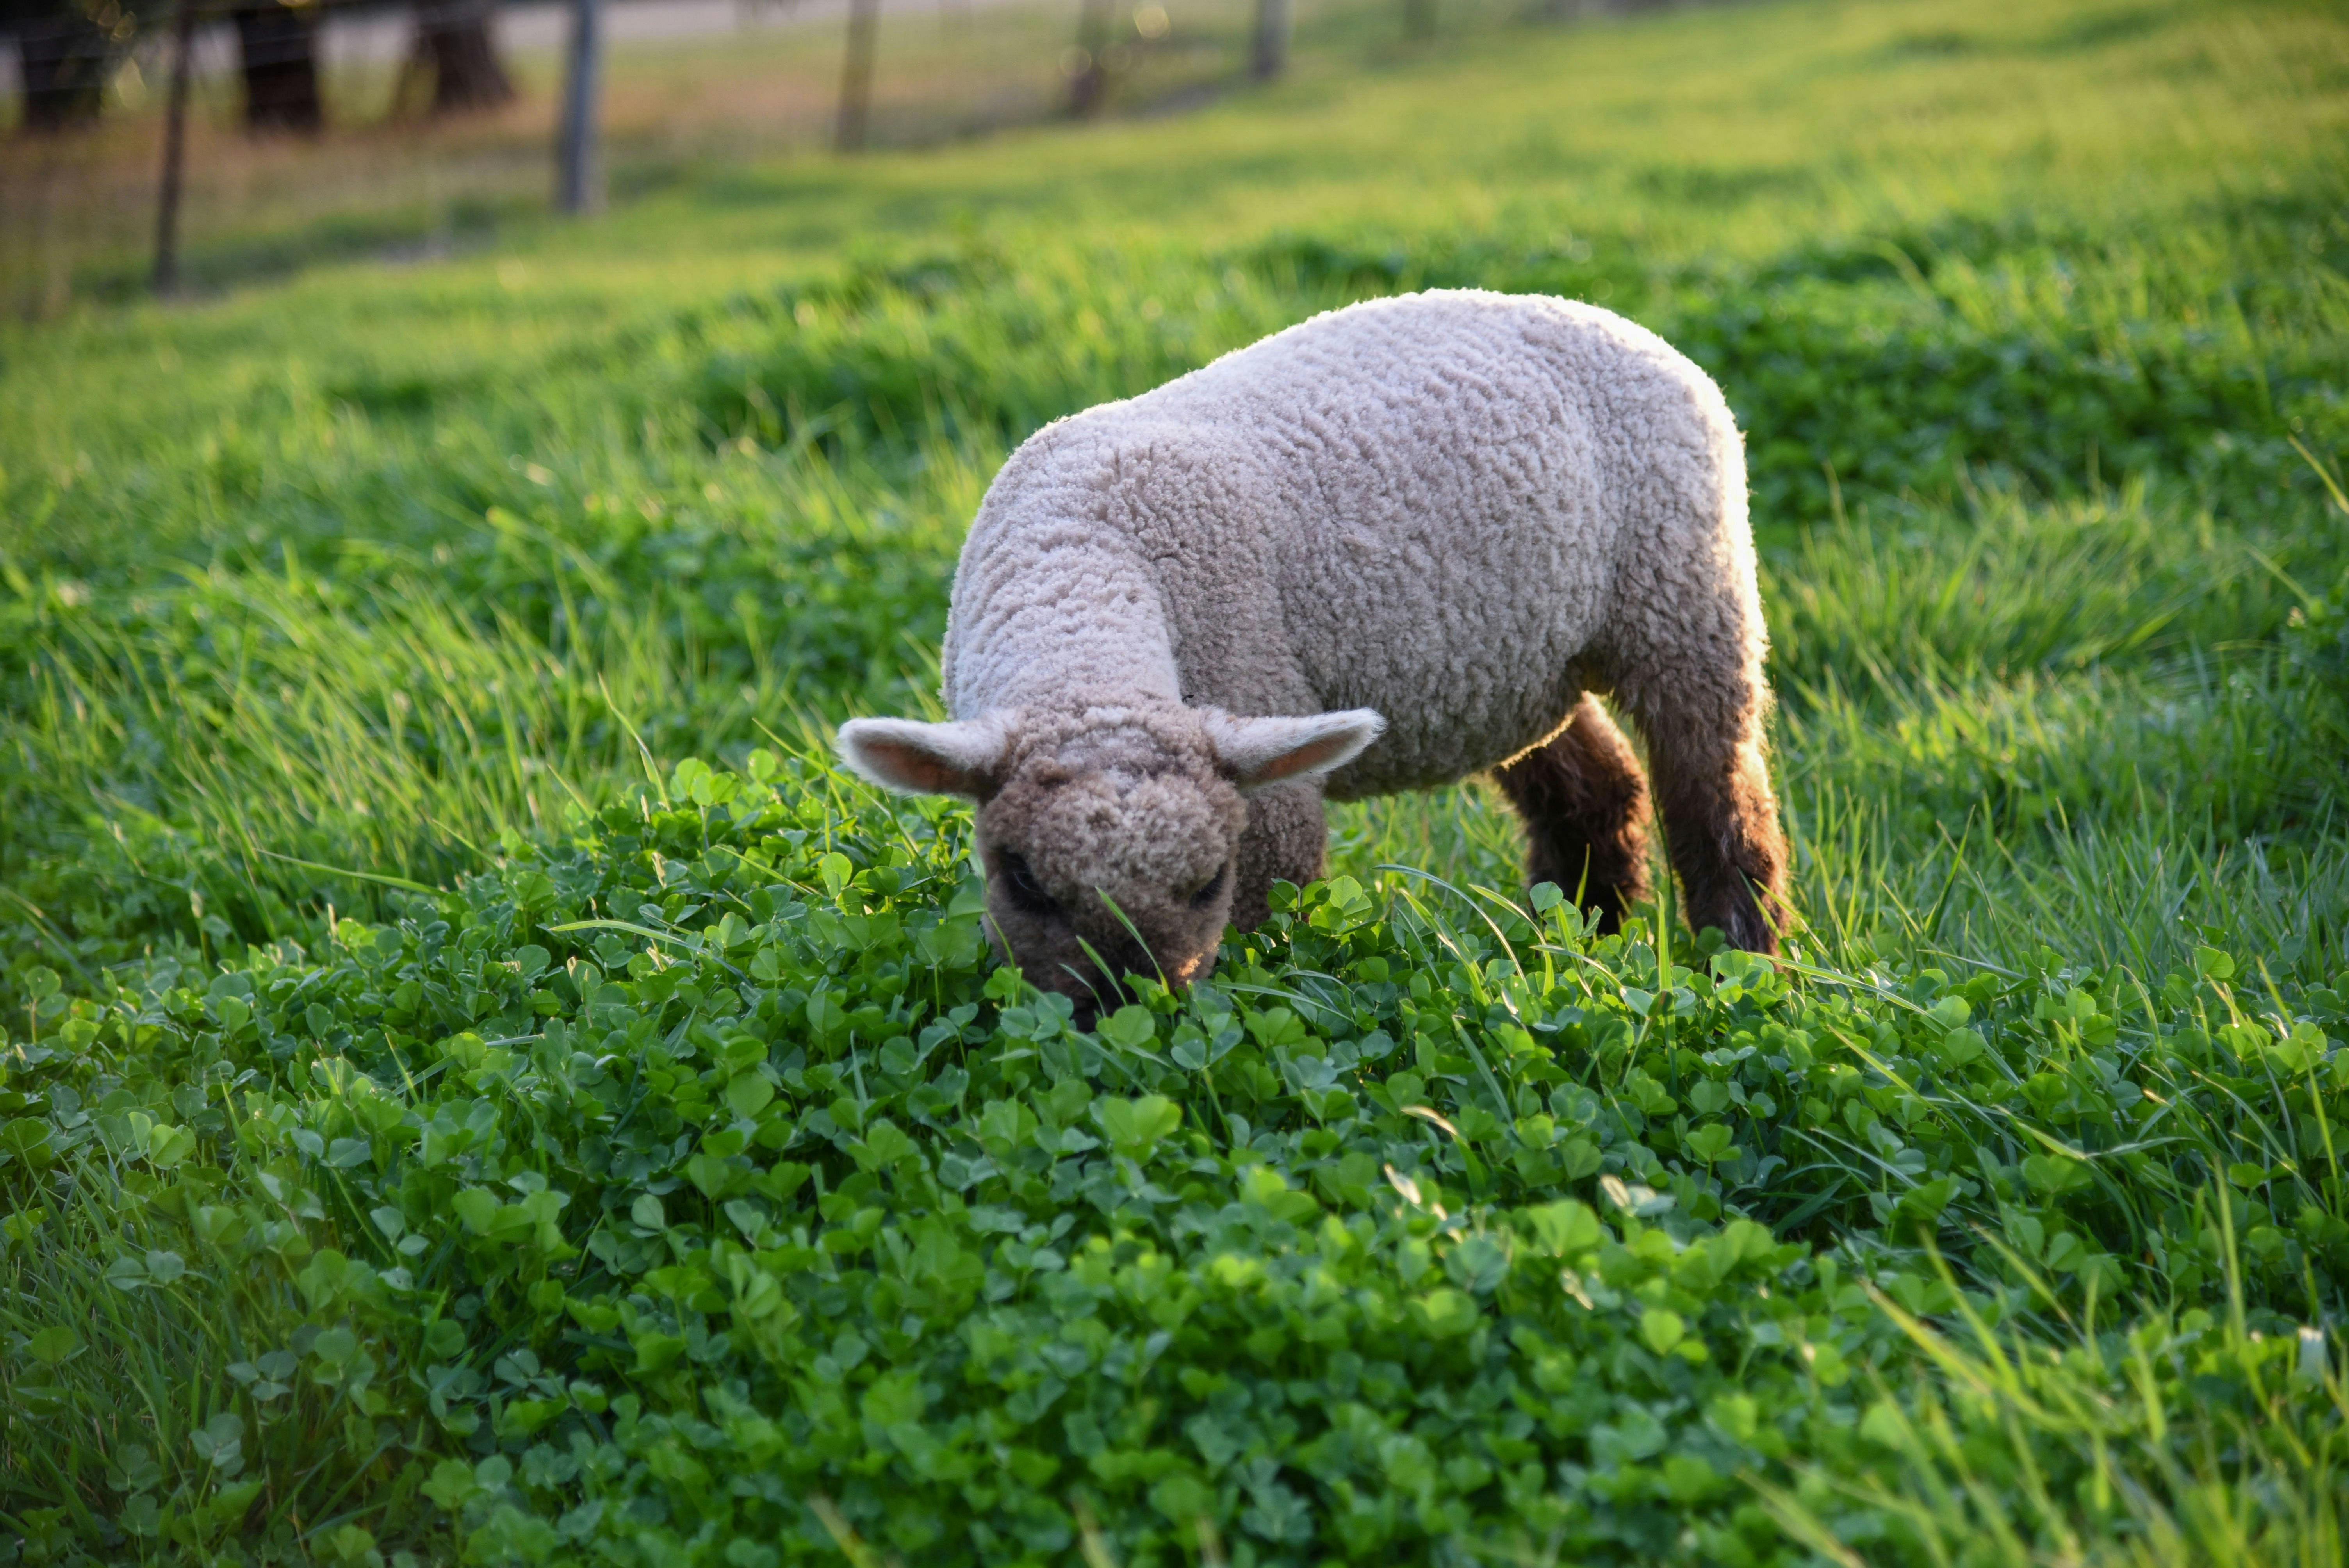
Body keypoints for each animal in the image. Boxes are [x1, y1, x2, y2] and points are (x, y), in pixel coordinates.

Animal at [837, 288, 1788, 1017]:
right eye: (1022, 880)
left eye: (1209, 882)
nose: (1119, 1017)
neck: (1083, 579)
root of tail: (1623, 324)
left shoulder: (1262, 765)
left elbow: (1268, 922)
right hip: (1510, 667)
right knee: (1593, 792)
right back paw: (1574, 941)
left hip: (1685, 593)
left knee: (1718, 804)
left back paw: (1740, 966)